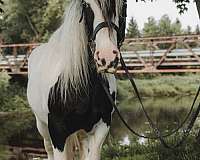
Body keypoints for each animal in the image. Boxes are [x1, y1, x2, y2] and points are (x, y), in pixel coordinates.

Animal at [27, 0, 126, 159]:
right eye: (86, 5)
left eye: (123, 4)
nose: (106, 57)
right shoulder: (58, 133)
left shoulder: (102, 126)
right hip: (42, 126)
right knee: (48, 149)